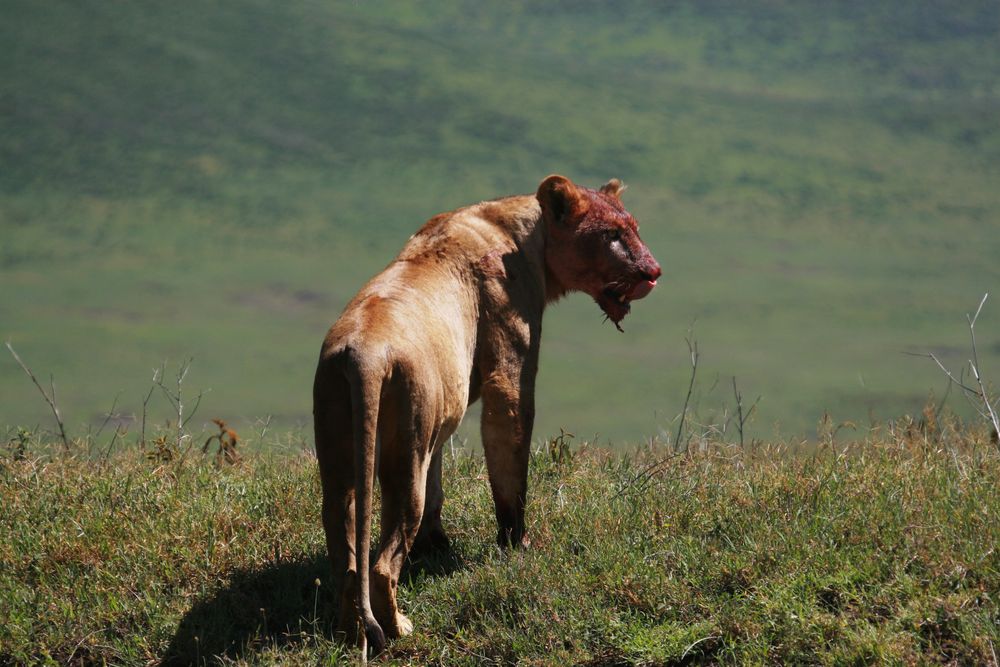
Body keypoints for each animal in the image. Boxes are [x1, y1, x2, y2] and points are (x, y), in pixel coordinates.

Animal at [310, 174, 656, 652]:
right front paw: (516, 543)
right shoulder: (509, 354)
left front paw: (437, 546)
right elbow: (510, 445)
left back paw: (349, 634)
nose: (653, 272)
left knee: (345, 554)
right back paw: (399, 629)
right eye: (611, 235)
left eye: (634, 228)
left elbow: (439, 478)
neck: (525, 234)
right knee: (381, 564)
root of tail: (365, 356)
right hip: (402, 454)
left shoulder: (438, 417)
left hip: (341, 445)